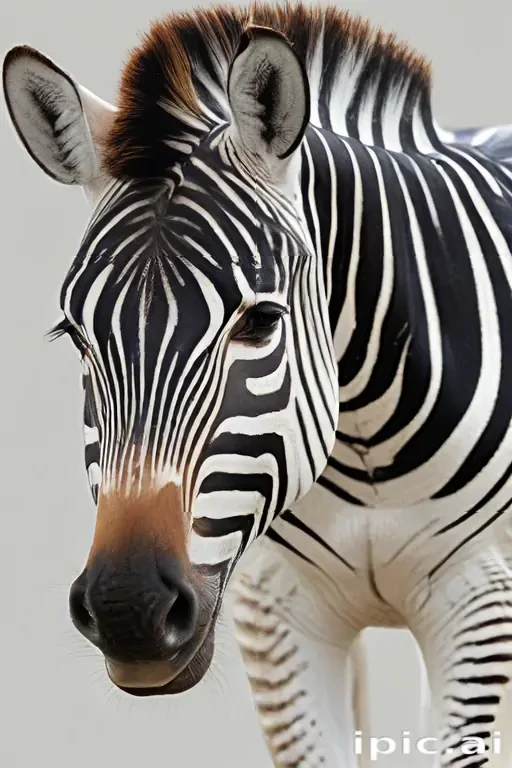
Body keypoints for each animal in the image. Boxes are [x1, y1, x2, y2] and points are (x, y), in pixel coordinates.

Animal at [4, 2, 512, 766]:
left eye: (262, 321)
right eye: (74, 334)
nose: (129, 611)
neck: (364, 448)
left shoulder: (477, 597)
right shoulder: (276, 610)